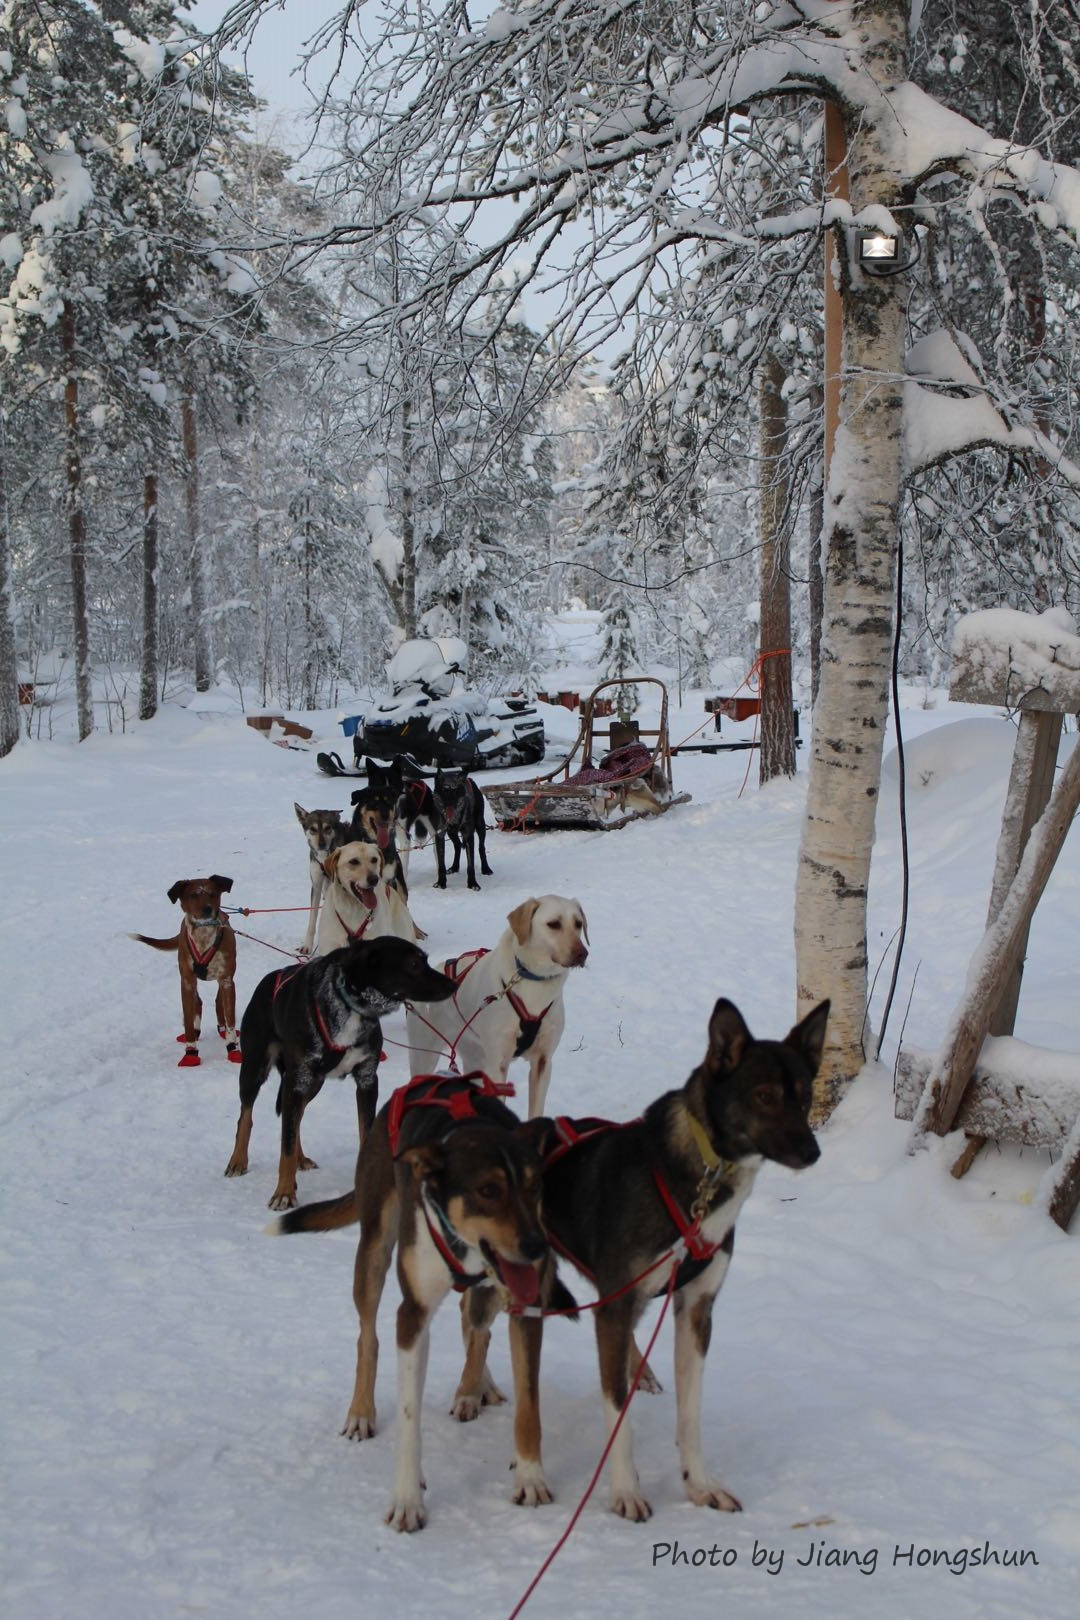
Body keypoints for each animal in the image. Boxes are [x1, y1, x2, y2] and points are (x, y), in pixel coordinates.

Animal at [131, 874, 241, 1062]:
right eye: (193, 895)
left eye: (213, 893)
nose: (207, 909)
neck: (204, 937)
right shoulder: (187, 982)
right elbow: (188, 1019)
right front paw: (191, 1051)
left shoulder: (227, 980)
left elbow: (230, 1018)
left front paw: (232, 1047)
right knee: (199, 1003)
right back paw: (197, 1032)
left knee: (218, 1003)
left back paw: (222, 1029)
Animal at [223, 939, 453, 1205]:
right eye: (414, 964)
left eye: (425, 960)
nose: (452, 984)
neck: (350, 1007)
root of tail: (270, 979)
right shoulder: (298, 1080)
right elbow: (285, 1145)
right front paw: (284, 1193)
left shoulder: (366, 1079)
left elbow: (363, 1131)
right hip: (257, 1069)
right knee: (248, 1115)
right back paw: (238, 1160)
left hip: (312, 1084)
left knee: (296, 1118)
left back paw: (300, 1158)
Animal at [408, 894, 592, 1121]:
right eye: (553, 924)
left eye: (578, 924)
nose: (582, 954)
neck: (534, 983)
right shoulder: (498, 1065)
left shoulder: (542, 1063)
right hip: (423, 1056)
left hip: (476, 1059)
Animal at [463, 991, 829, 1522]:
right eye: (764, 1096)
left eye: (804, 1095)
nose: (811, 1151)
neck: (698, 1183)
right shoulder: (615, 1308)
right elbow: (618, 1411)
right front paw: (626, 1491)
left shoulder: (695, 1309)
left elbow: (690, 1413)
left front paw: (699, 1485)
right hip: (525, 1284)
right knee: (476, 1319)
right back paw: (475, 1395)